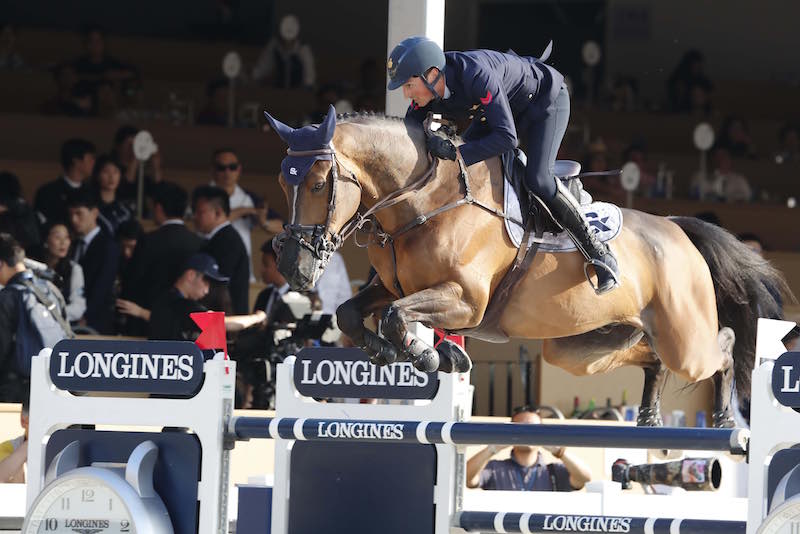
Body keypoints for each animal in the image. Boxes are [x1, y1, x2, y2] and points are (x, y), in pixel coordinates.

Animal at [268, 107, 788, 430]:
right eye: (281, 182)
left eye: (318, 183)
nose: (294, 269)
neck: (424, 200)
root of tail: (677, 228)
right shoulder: (393, 286)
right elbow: (351, 313)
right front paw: (396, 352)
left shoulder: (465, 301)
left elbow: (397, 317)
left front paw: (434, 356)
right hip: (581, 347)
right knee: (652, 358)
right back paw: (648, 417)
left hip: (685, 336)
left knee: (722, 348)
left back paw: (725, 419)